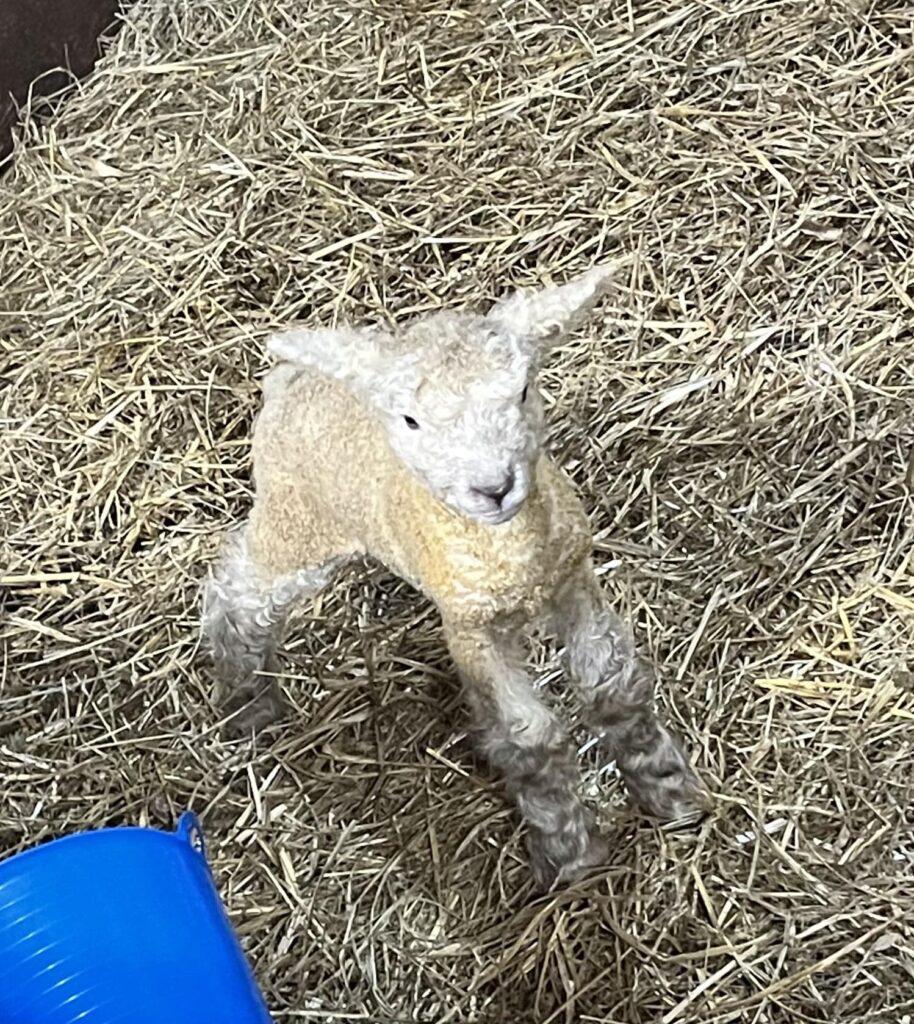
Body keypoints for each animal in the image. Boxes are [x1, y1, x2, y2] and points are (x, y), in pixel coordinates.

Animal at [203, 266, 708, 888]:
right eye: (411, 420)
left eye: (522, 391)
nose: (494, 487)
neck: (514, 562)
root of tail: (290, 377)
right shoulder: (469, 627)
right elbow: (527, 733)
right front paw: (569, 851)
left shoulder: (574, 578)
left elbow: (611, 685)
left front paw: (670, 789)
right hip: (297, 525)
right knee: (239, 593)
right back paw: (245, 699)